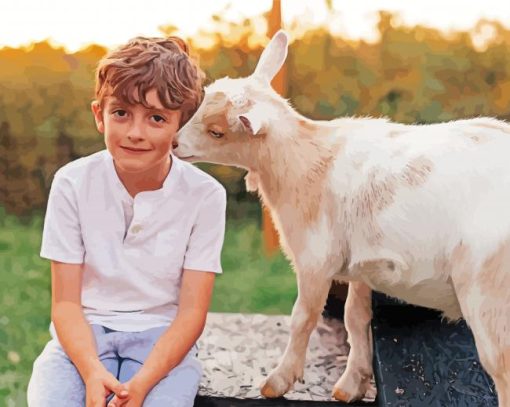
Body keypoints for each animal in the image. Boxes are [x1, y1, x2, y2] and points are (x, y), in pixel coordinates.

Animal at [174, 31, 510, 404]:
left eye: (217, 131)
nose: (174, 143)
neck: (304, 158)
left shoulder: (315, 260)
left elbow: (302, 317)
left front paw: (278, 381)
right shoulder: (362, 264)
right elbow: (355, 317)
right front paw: (352, 384)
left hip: (489, 293)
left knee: (501, 364)